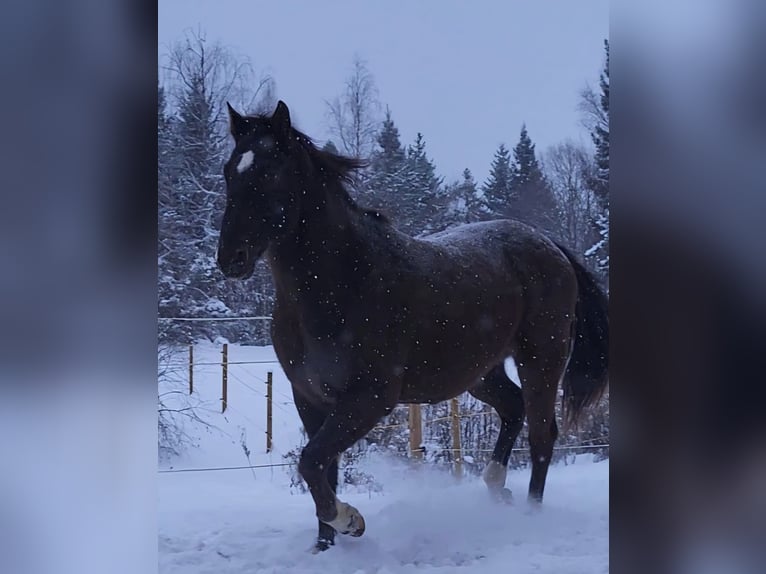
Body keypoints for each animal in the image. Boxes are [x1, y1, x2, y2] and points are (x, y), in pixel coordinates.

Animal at [216, 100, 608, 552]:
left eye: (271, 172)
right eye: (230, 170)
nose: (230, 257)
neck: (342, 281)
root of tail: (550, 245)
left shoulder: (370, 398)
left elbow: (312, 461)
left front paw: (350, 521)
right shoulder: (310, 397)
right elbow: (323, 468)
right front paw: (325, 545)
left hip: (541, 360)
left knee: (543, 435)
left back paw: (529, 514)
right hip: (478, 372)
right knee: (513, 408)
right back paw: (497, 488)